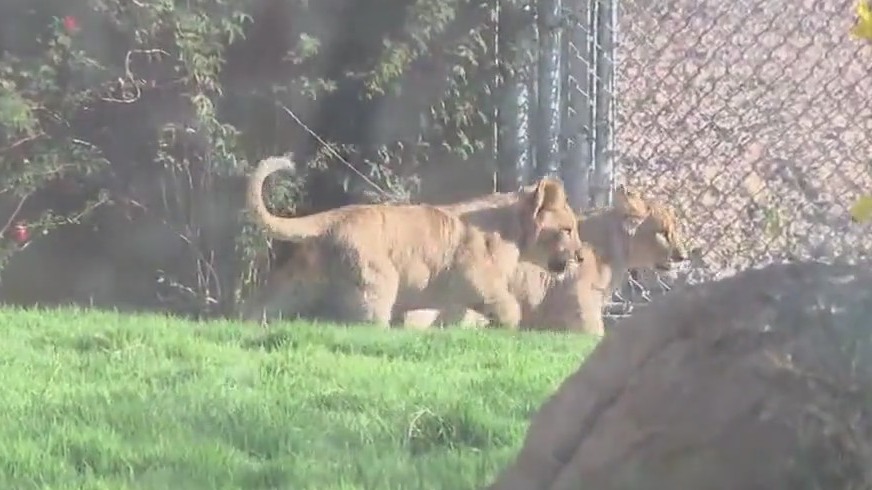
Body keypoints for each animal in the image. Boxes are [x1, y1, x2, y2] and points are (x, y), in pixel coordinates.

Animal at [240, 156, 584, 328]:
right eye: (567, 230)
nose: (581, 257)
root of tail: (333, 216)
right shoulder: (478, 282)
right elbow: (510, 308)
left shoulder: (455, 297)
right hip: (378, 282)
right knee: (364, 324)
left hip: (296, 284)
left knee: (261, 308)